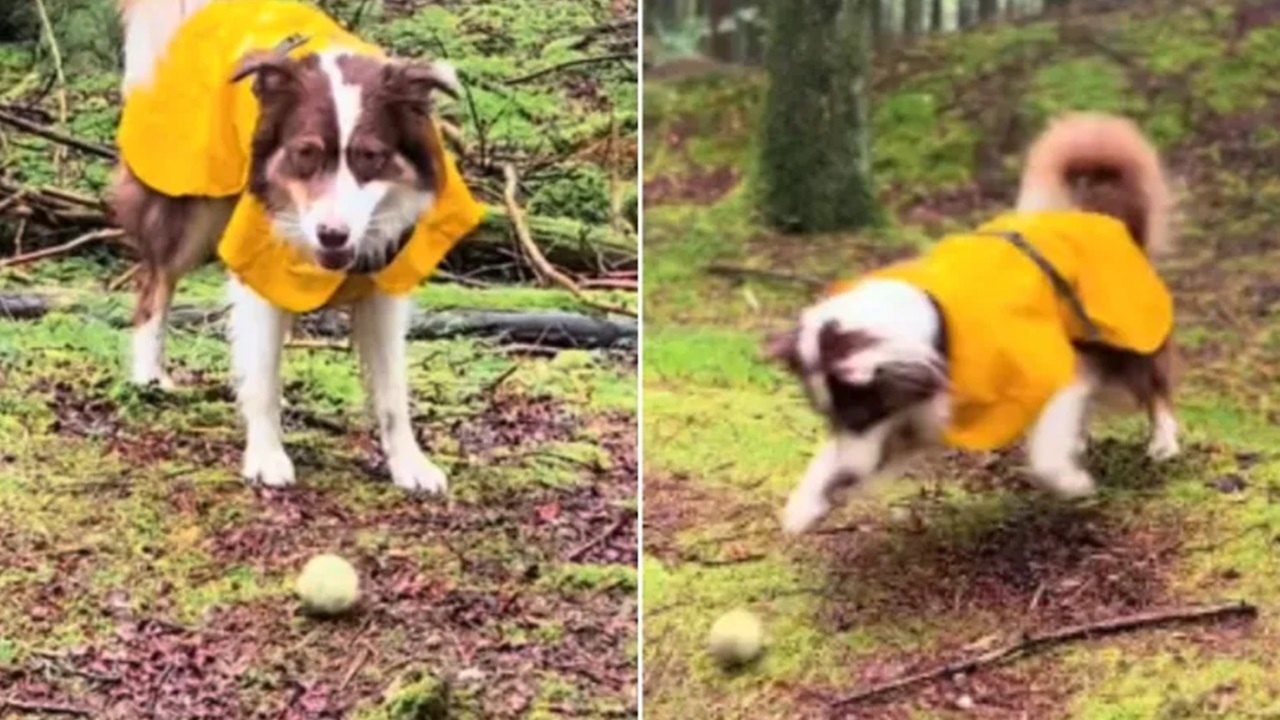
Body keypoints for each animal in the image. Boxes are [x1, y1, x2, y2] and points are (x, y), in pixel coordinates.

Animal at [110, 0, 483, 489]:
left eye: (370, 157)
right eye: (306, 153)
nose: (332, 234)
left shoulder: (384, 281)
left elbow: (392, 390)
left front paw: (409, 463)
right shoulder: (258, 261)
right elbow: (262, 374)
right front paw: (266, 455)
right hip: (190, 205)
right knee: (154, 285)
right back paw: (148, 375)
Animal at [768, 109, 1177, 530]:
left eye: (862, 413)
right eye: (830, 417)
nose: (848, 473)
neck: (935, 326)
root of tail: (1110, 220)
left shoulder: (1052, 368)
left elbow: (1046, 452)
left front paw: (1071, 483)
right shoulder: (915, 417)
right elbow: (830, 461)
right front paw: (805, 505)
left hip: (1124, 339)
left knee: (1154, 385)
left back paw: (1163, 441)